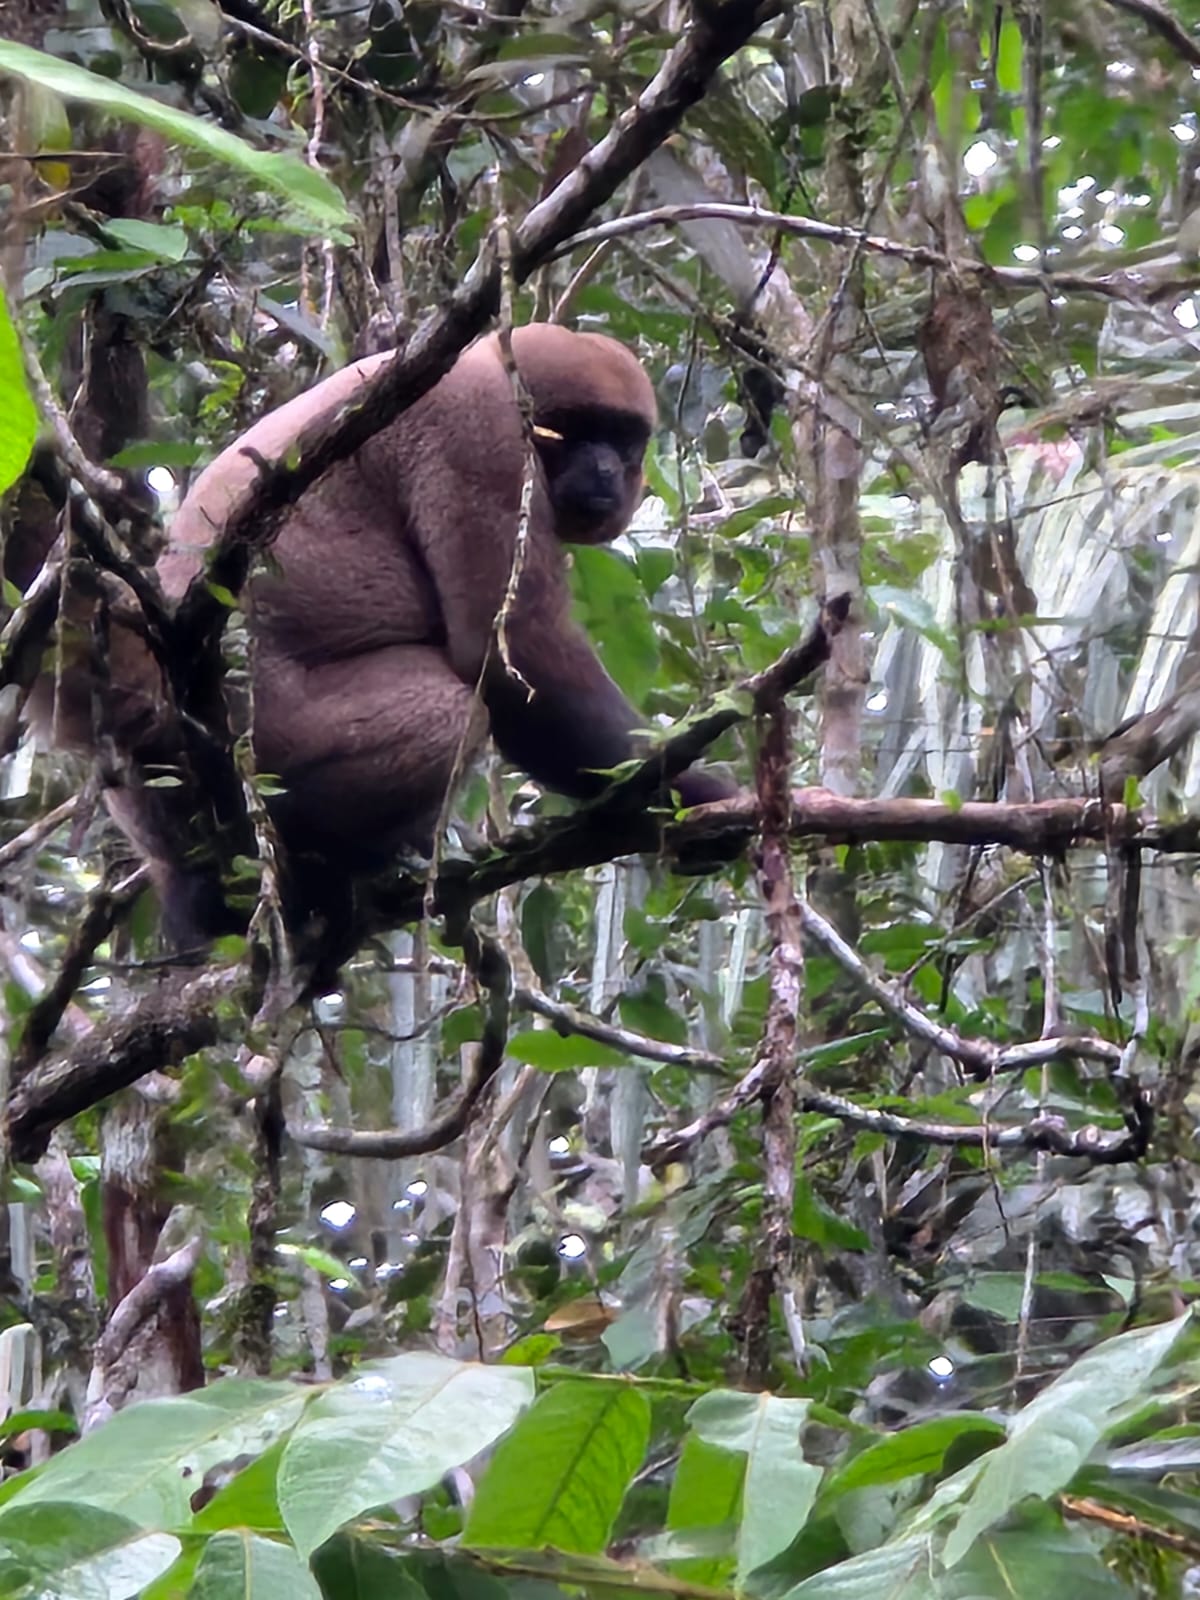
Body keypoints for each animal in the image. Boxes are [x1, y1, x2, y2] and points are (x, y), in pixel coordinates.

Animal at [32, 324, 735, 952]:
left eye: (624, 440)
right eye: (579, 432)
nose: (608, 470)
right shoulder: (482, 431)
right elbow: (511, 654)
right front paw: (690, 793)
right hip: (261, 731)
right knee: (453, 713)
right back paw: (311, 866)